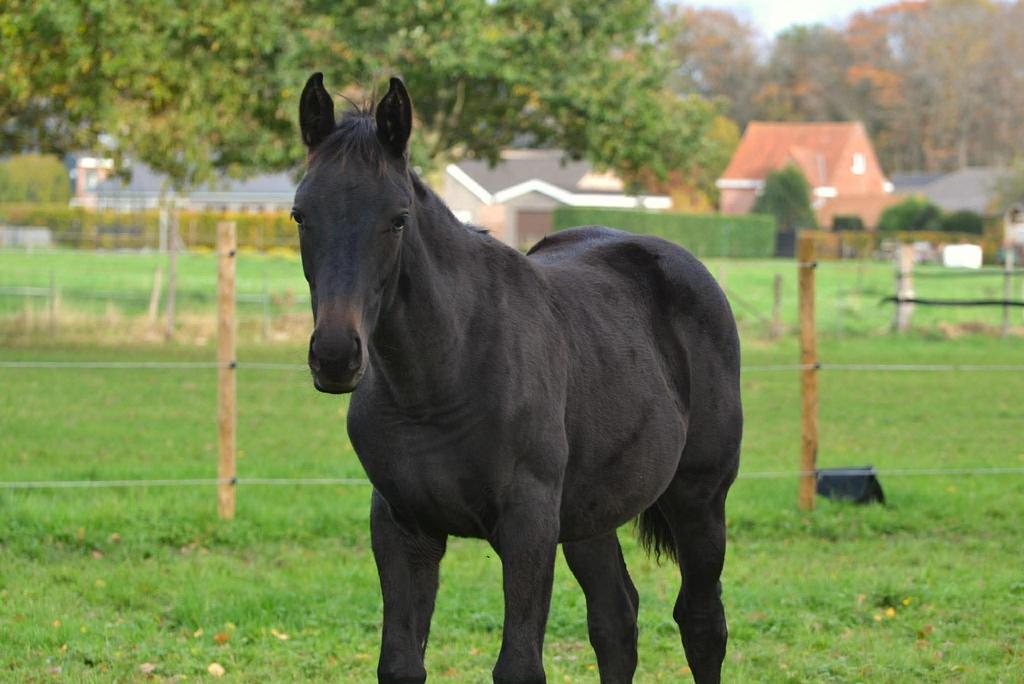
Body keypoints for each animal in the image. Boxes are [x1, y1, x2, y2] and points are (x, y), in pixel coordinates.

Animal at [293, 73, 742, 684]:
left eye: (397, 218)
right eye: (300, 215)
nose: (336, 356)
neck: (439, 383)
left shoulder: (528, 525)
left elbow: (520, 665)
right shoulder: (402, 526)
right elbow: (401, 663)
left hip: (699, 498)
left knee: (701, 622)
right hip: (590, 515)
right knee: (616, 621)